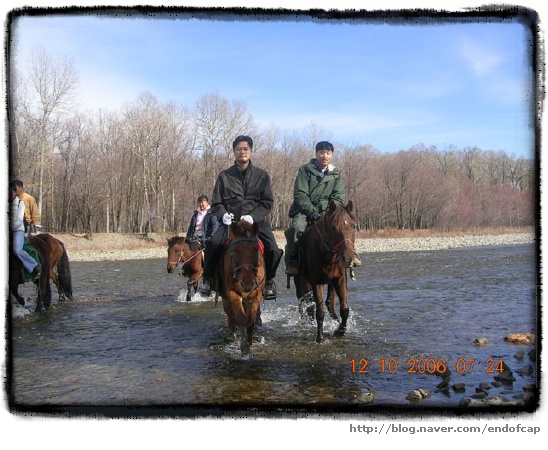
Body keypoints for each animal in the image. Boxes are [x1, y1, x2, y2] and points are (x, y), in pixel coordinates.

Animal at [220, 220, 268, 356]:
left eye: (255, 249)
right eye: (235, 250)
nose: (247, 283)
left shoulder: (255, 296)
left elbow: (250, 320)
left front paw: (250, 343)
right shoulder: (233, 295)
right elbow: (241, 319)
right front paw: (244, 347)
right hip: (226, 301)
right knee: (231, 320)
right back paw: (234, 338)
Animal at [294, 199, 358, 342]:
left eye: (353, 226)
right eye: (334, 227)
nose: (348, 258)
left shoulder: (339, 279)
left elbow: (344, 308)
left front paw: (340, 330)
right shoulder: (316, 282)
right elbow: (320, 311)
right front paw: (320, 338)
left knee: (329, 304)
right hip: (301, 283)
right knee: (303, 304)